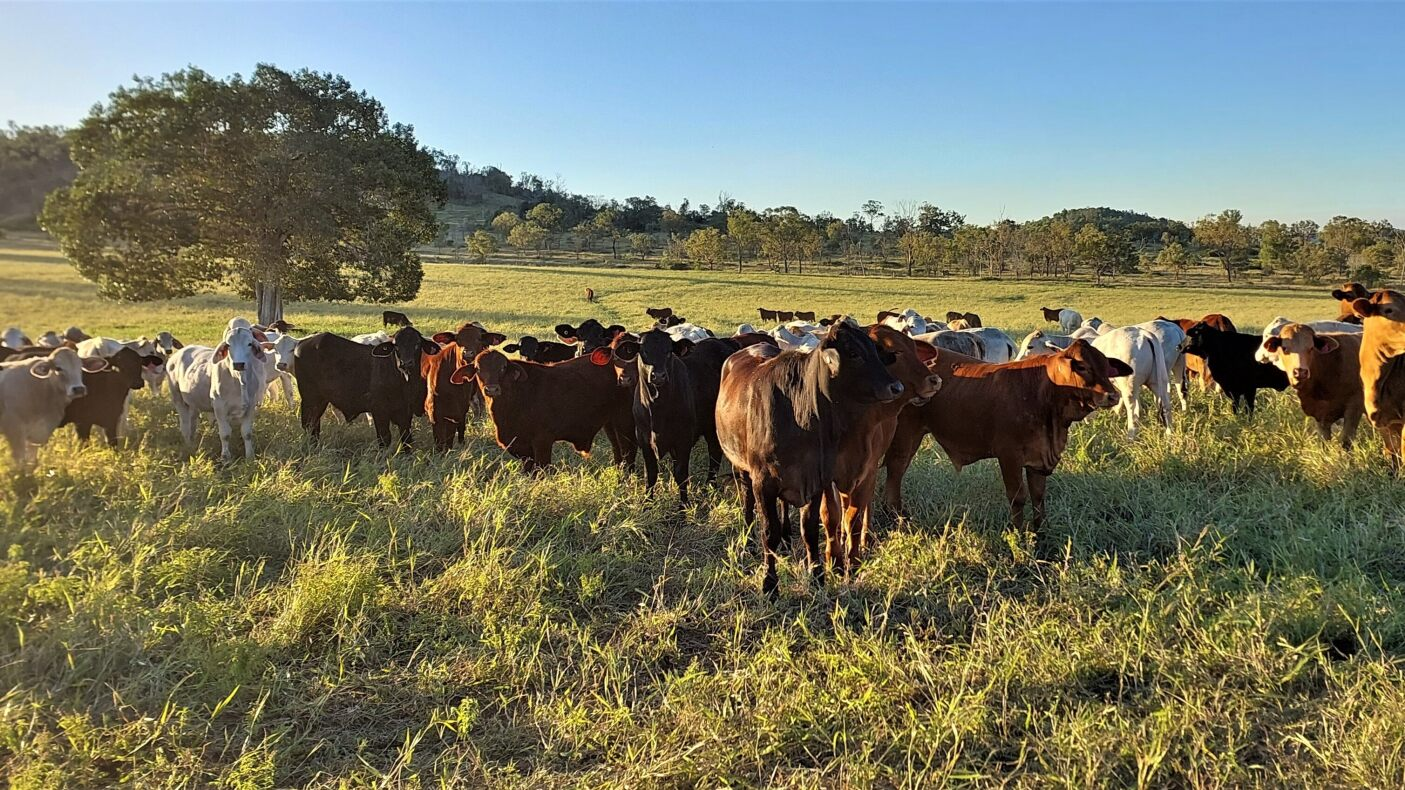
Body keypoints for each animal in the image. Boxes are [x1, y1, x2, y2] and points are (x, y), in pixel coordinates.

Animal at [470, 346, 637, 472]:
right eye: (477, 369)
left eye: (503, 368)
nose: (492, 389)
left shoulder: (542, 441)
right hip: (610, 422)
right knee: (617, 448)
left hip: (624, 420)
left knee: (628, 449)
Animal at [716, 320, 904, 595]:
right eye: (854, 353)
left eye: (875, 350)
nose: (896, 387)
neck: (800, 413)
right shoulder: (763, 482)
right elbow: (768, 531)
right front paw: (769, 583)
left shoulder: (814, 480)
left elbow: (810, 530)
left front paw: (817, 576)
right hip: (741, 467)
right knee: (747, 502)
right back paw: (748, 539)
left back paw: (786, 538)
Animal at [883, 341, 1131, 529]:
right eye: (1081, 367)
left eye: (1106, 367)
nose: (1112, 395)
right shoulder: (1009, 456)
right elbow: (1018, 497)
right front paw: (1018, 535)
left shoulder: (1038, 461)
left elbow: (1039, 497)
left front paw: (1041, 533)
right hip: (905, 436)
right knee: (895, 472)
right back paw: (898, 516)